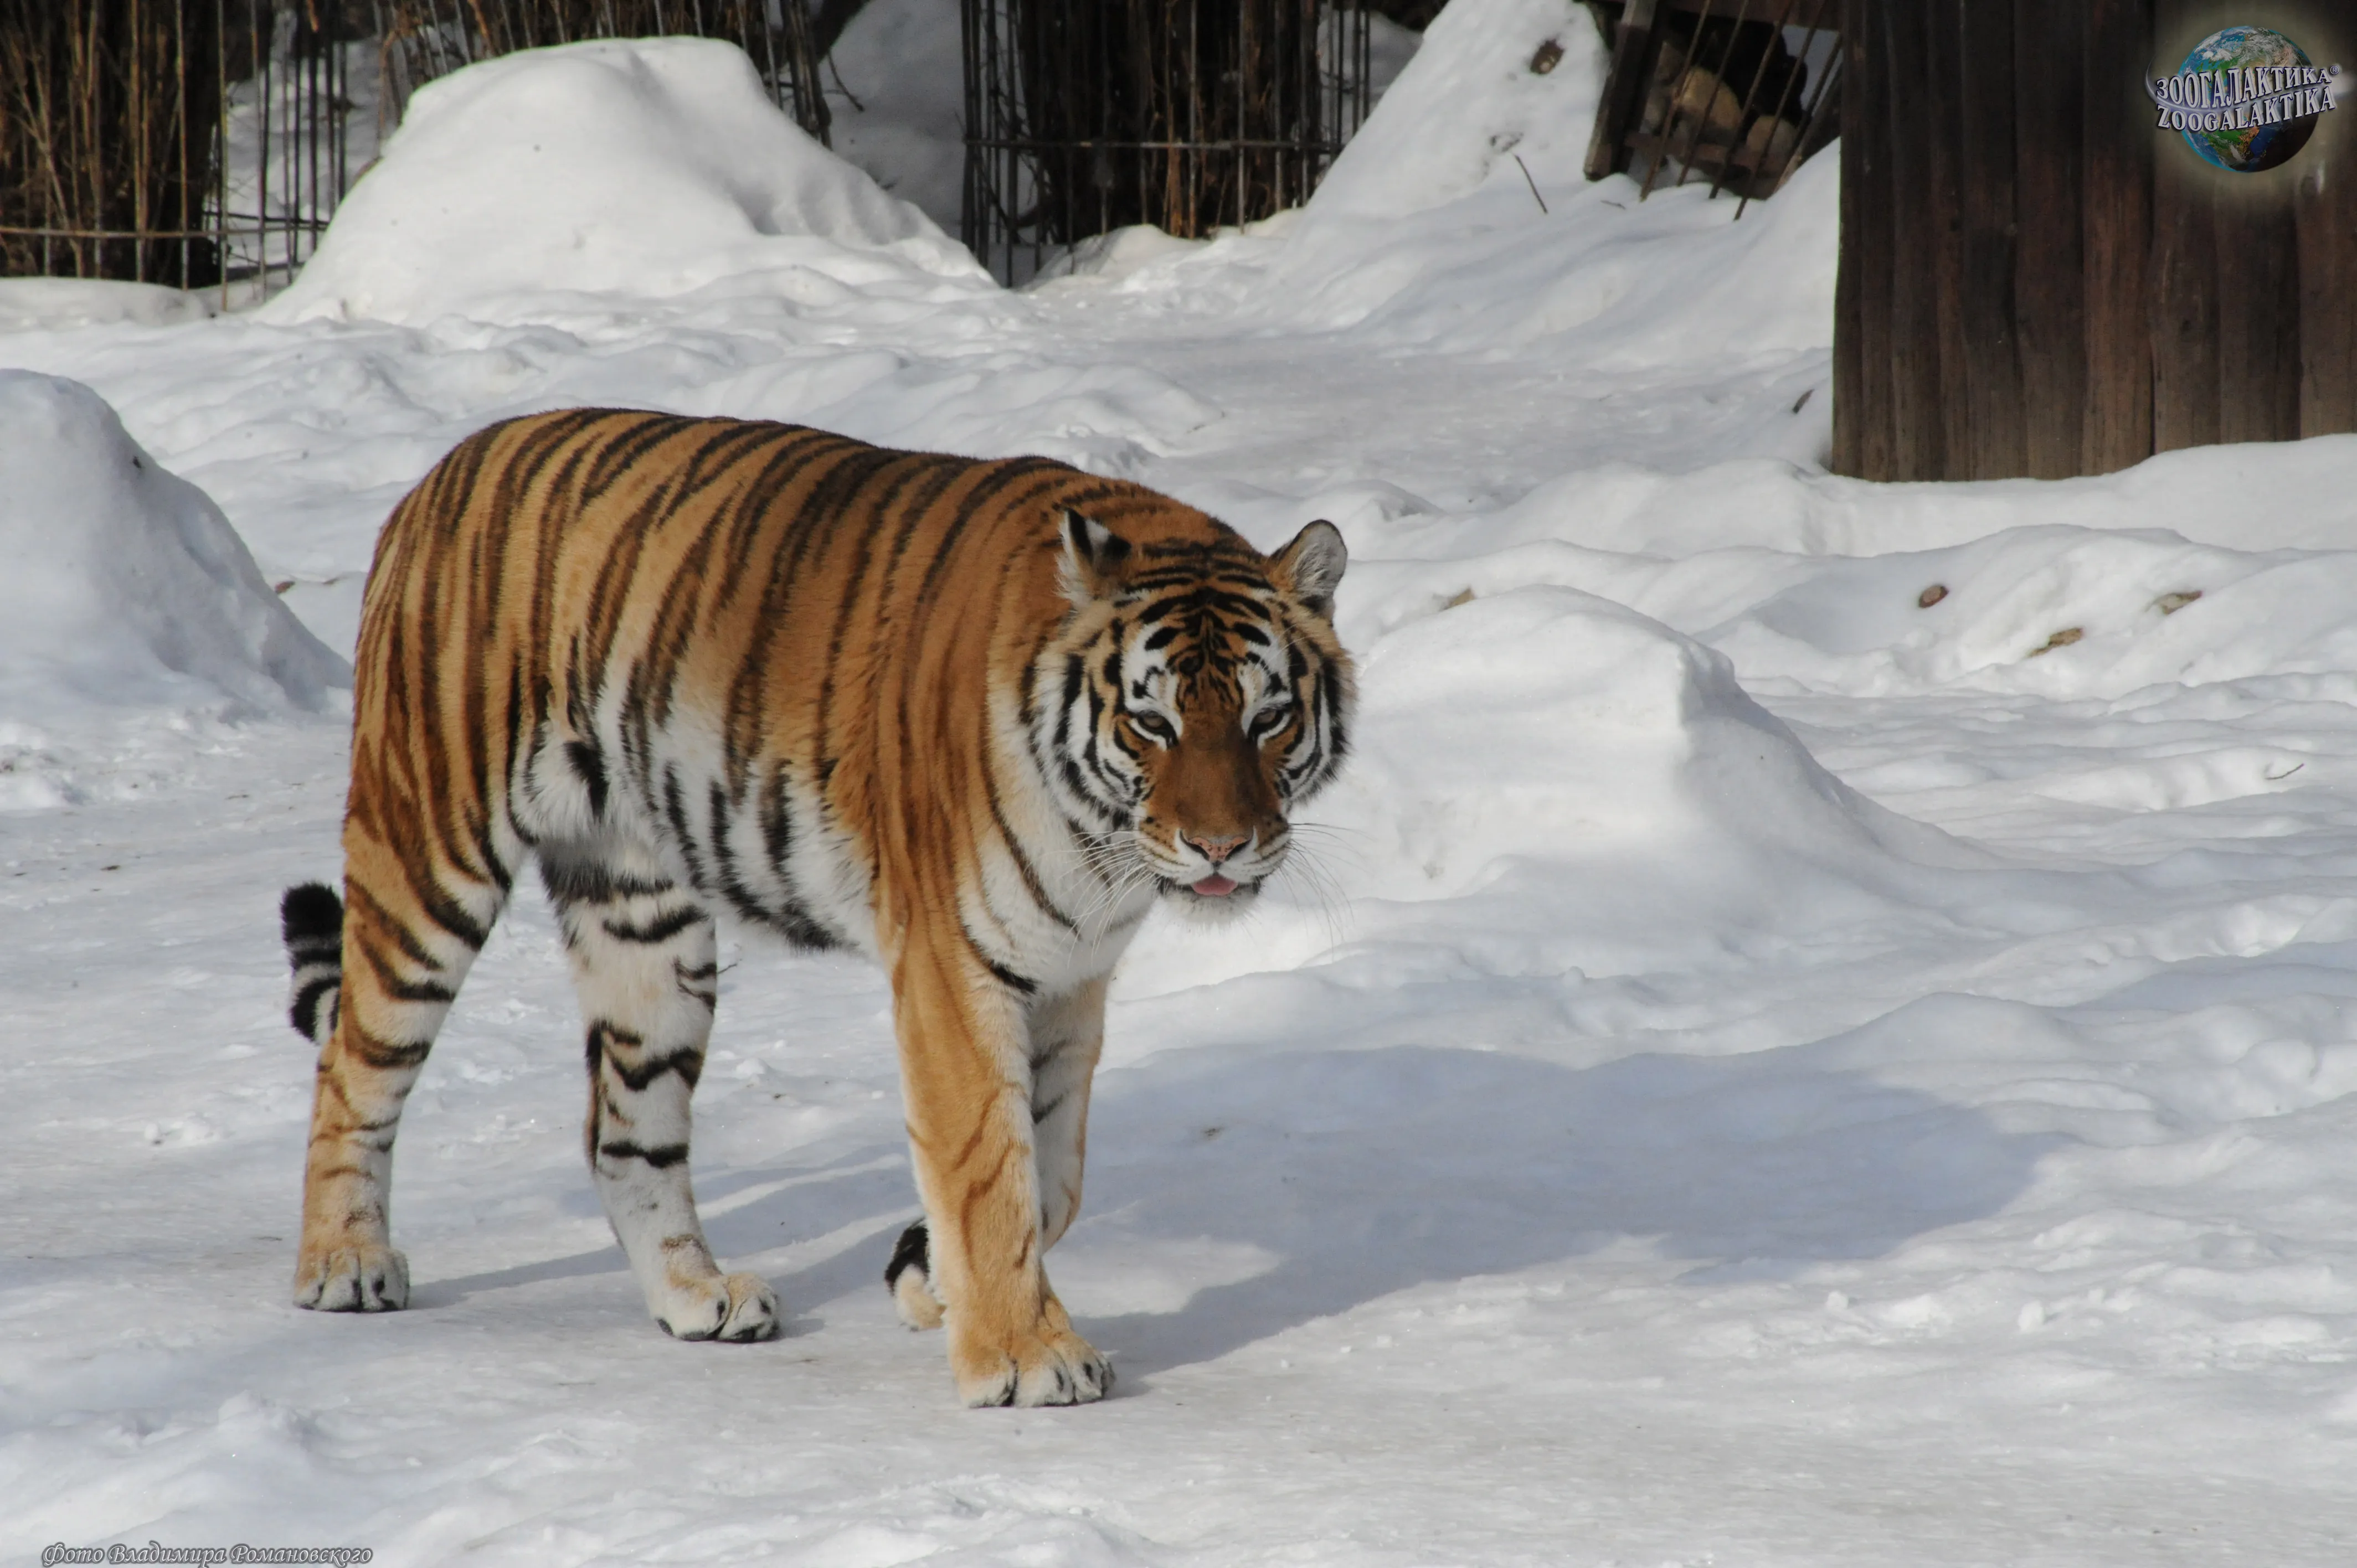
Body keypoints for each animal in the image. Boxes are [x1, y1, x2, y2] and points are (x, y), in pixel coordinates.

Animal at [278, 405, 1357, 1405]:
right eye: (1151, 722)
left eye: (1269, 717)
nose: (1220, 846)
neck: (1100, 848)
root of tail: (446, 467)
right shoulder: (953, 963)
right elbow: (987, 1164)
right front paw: (1025, 1357)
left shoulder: (1068, 976)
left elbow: (1051, 1173)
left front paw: (929, 1277)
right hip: (431, 853)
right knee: (353, 1066)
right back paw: (344, 1264)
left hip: (645, 925)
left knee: (624, 1135)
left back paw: (698, 1297)